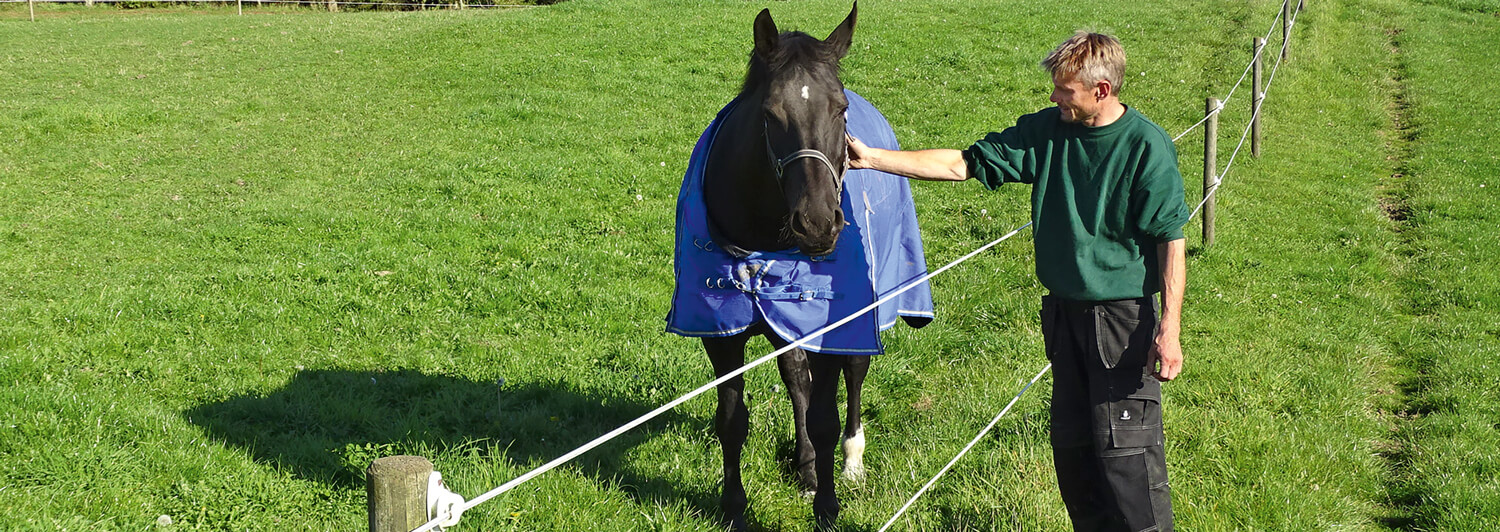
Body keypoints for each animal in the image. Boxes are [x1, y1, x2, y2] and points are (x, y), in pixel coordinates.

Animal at [663, 3, 930, 530]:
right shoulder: (720, 334)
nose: (819, 223)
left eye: (840, 109)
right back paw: (807, 467)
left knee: (852, 374)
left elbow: (826, 417)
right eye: (771, 113)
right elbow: (733, 420)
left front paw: (827, 507)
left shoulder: (833, 322)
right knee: (796, 378)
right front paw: (734, 508)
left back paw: (850, 461)